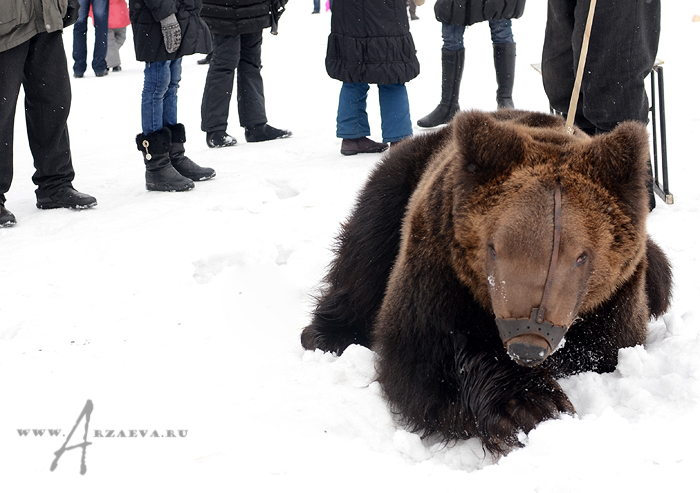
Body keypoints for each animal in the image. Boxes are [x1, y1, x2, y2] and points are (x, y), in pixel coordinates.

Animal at [300, 108, 672, 454]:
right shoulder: (440, 266)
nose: (528, 344)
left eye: (581, 256)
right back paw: (327, 333)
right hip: (394, 189)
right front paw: (530, 406)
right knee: (365, 257)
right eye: (494, 248)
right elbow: (424, 354)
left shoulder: (615, 304)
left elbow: (603, 348)